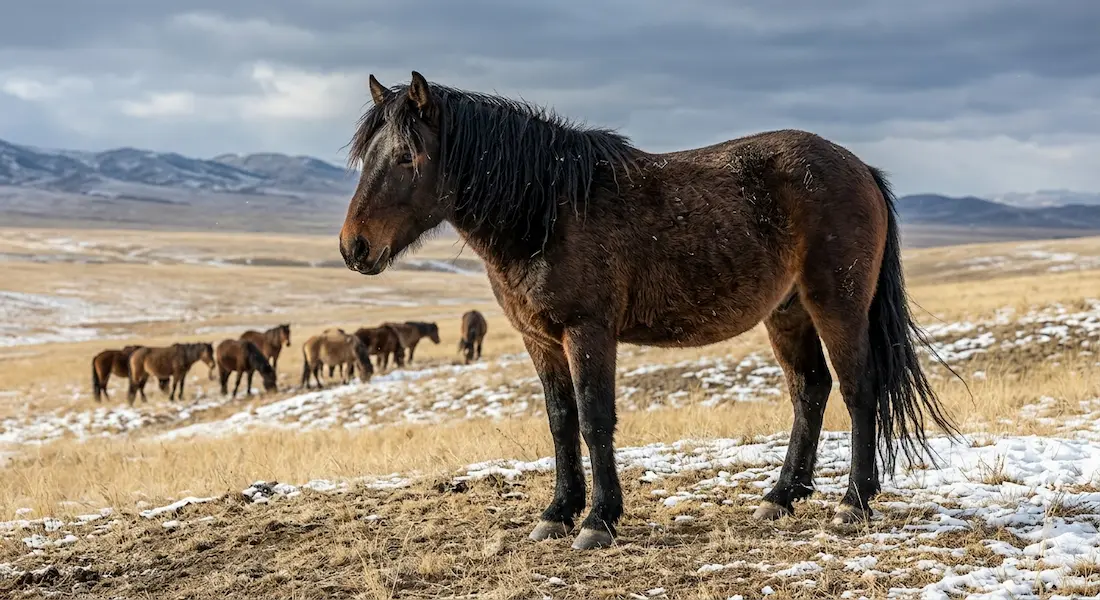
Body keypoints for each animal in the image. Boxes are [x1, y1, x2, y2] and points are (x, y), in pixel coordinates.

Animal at [338, 71, 962, 550]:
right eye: (366, 156)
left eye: (408, 156)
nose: (354, 248)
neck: (546, 210)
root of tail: (861, 170)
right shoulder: (540, 340)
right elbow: (560, 421)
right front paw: (556, 514)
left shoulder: (588, 332)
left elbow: (594, 420)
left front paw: (598, 521)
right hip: (787, 313)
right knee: (809, 390)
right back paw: (780, 498)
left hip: (836, 305)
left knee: (859, 391)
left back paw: (853, 503)